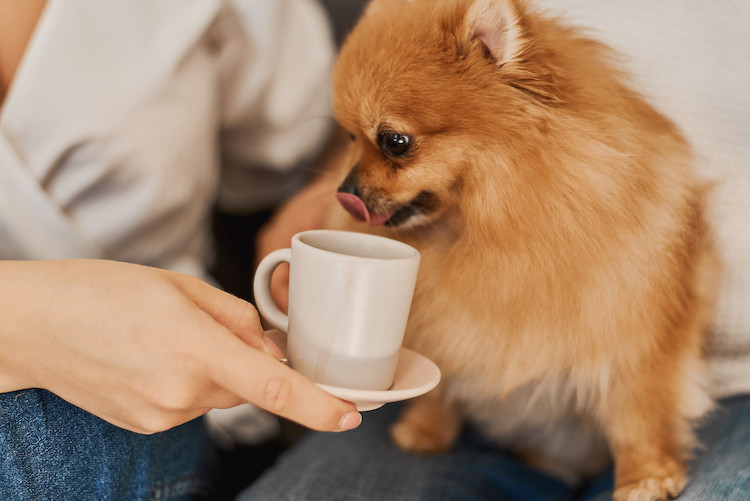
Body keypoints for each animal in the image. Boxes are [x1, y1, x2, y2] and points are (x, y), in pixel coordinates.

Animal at [328, 0, 724, 496]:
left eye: (395, 142)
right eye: (348, 137)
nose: (343, 192)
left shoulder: (637, 332)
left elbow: (638, 412)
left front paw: (646, 476)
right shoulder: (444, 324)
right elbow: (441, 384)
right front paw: (425, 431)